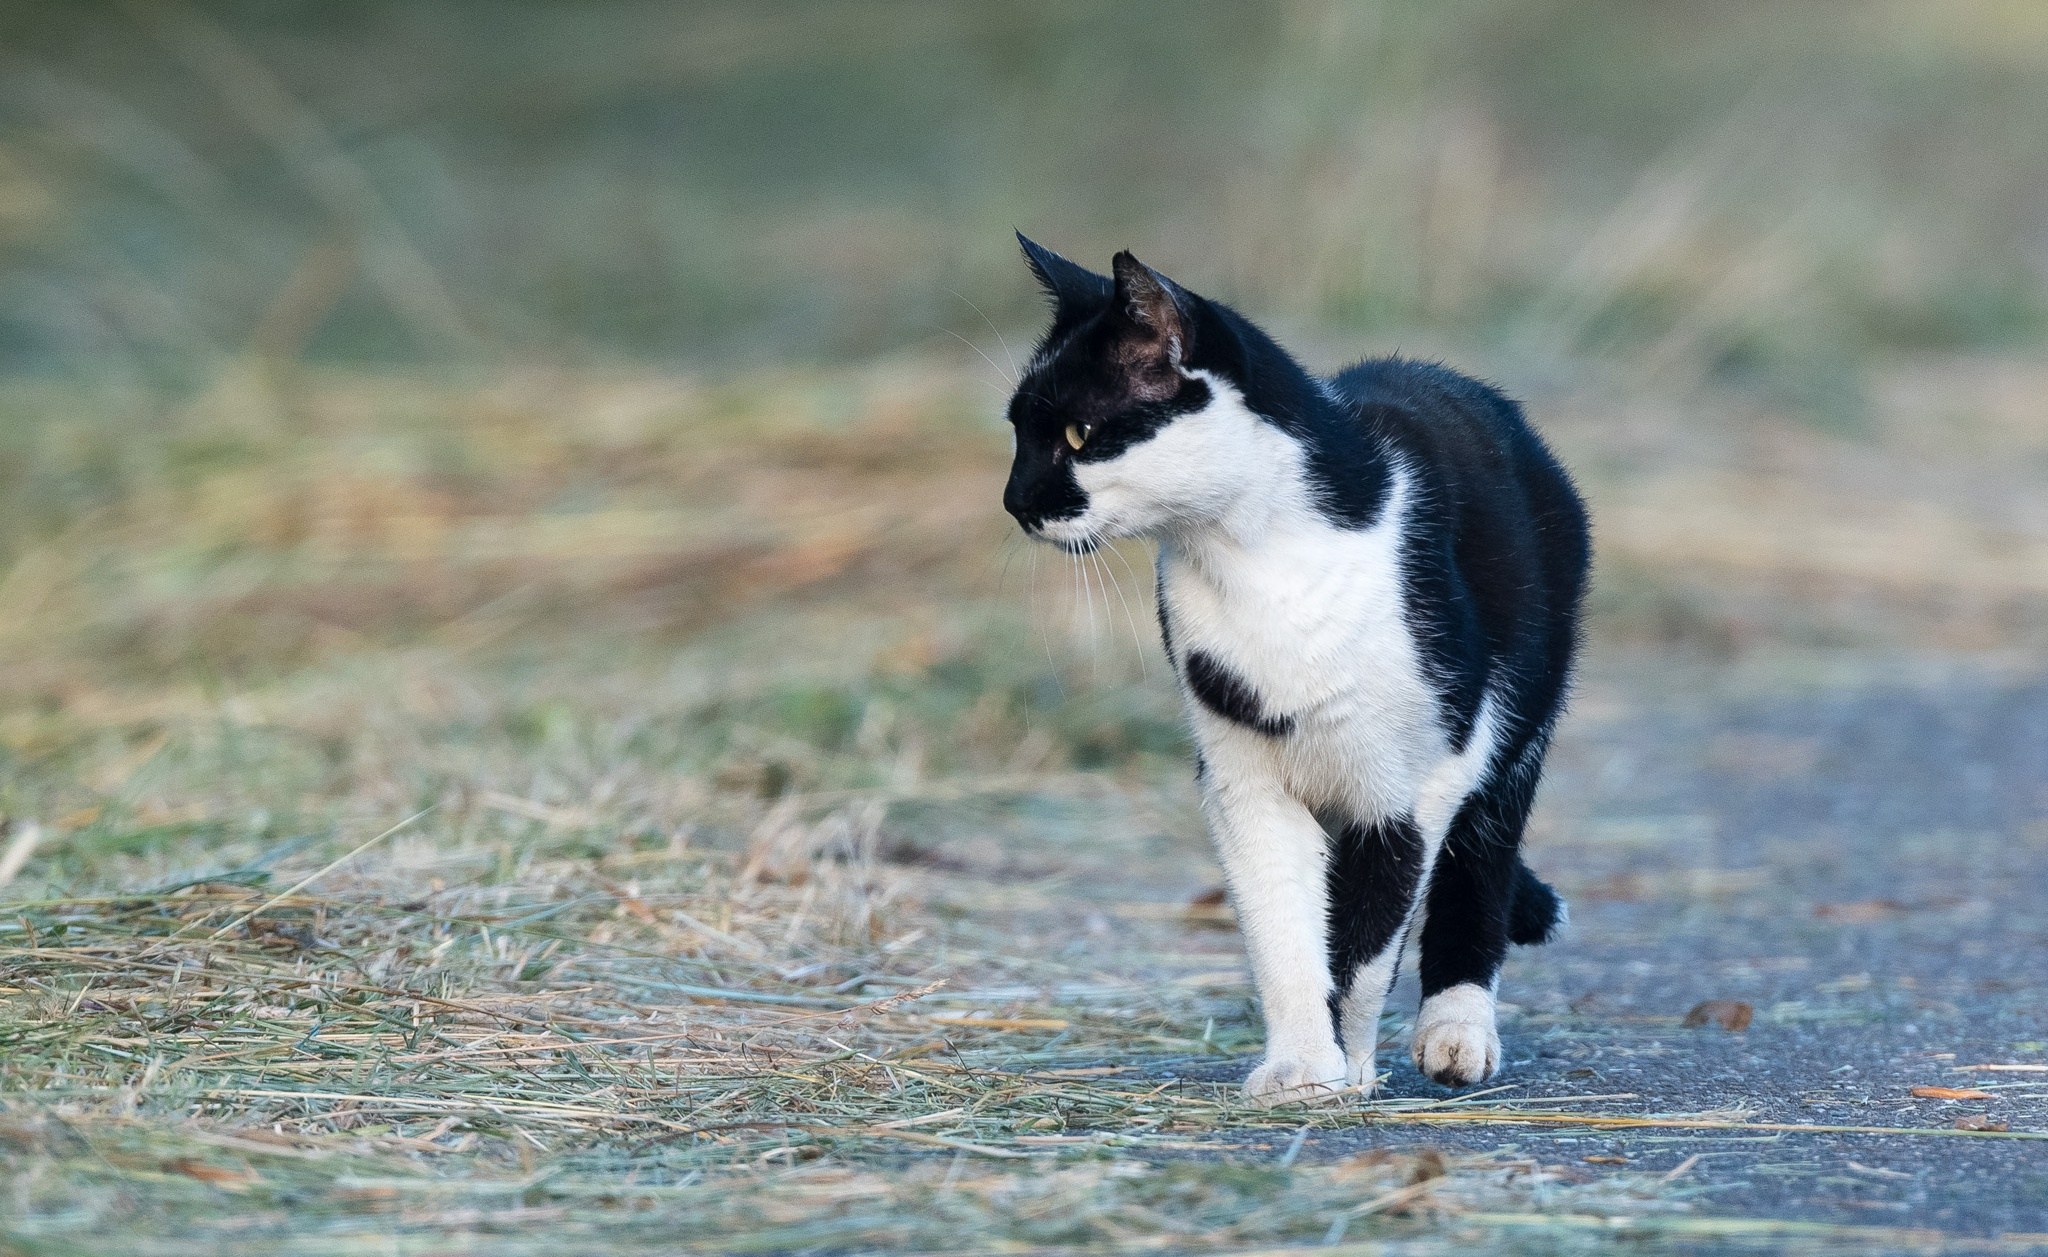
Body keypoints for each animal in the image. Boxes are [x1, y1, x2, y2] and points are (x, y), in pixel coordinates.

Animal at [999, 236, 1589, 1105]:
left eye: (1078, 432)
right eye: (1016, 431)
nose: (1014, 500)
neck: (1260, 558)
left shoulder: (1411, 788)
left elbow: (1367, 948)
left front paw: (1353, 1069)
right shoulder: (1242, 780)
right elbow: (1282, 929)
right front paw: (1305, 1067)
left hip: (1517, 723)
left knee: (1479, 864)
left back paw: (1456, 1031)